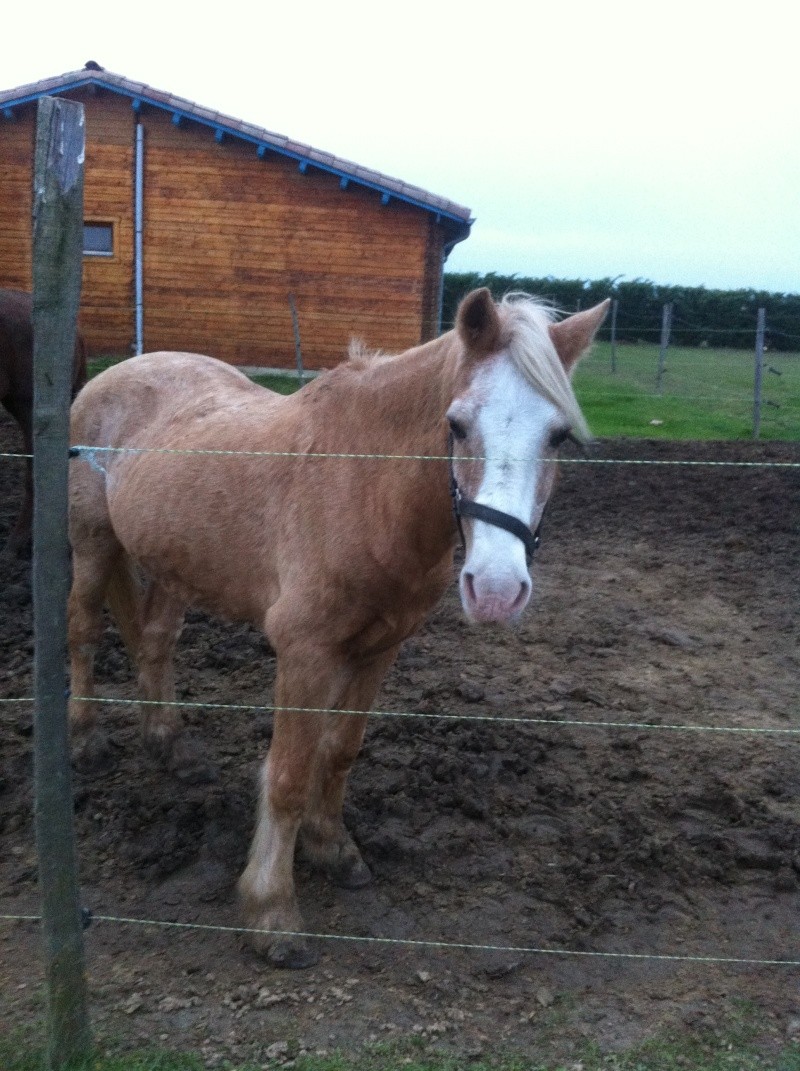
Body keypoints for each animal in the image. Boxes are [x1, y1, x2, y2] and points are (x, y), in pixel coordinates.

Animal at [67, 289, 608, 968]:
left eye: (559, 435)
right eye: (457, 425)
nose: (496, 590)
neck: (364, 487)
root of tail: (116, 374)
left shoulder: (379, 649)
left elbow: (339, 750)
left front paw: (332, 848)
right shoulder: (305, 651)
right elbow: (289, 773)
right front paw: (272, 912)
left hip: (174, 563)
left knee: (157, 643)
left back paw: (170, 744)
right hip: (92, 542)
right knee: (83, 630)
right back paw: (85, 741)